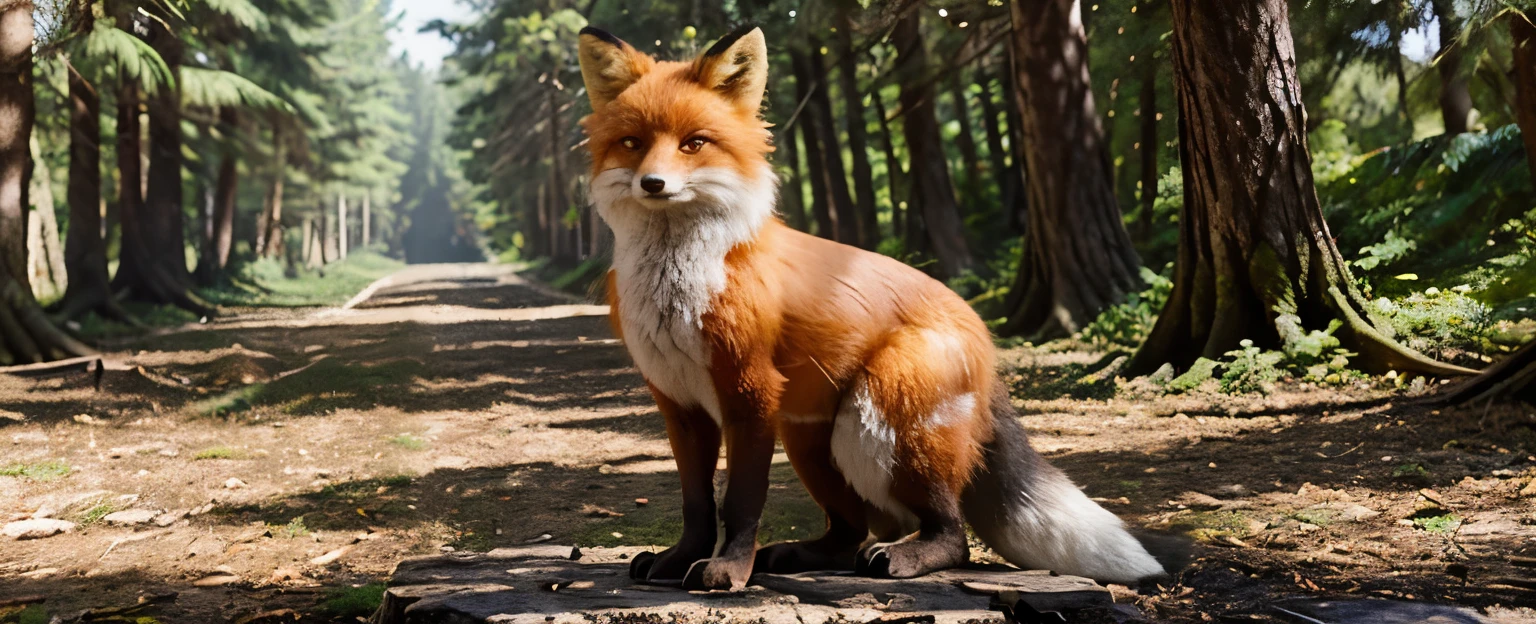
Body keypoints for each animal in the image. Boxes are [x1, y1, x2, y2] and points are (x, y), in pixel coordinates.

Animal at [577, 24, 1161, 590]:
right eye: (632, 143)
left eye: (694, 144)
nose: (653, 183)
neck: (679, 292)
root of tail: (985, 338)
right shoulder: (679, 404)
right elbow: (697, 505)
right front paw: (682, 559)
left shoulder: (749, 392)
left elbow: (740, 502)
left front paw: (728, 571)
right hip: (811, 440)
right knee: (854, 529)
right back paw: (801, 554)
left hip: (880, 422)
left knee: (950, 534)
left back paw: (907, 556)